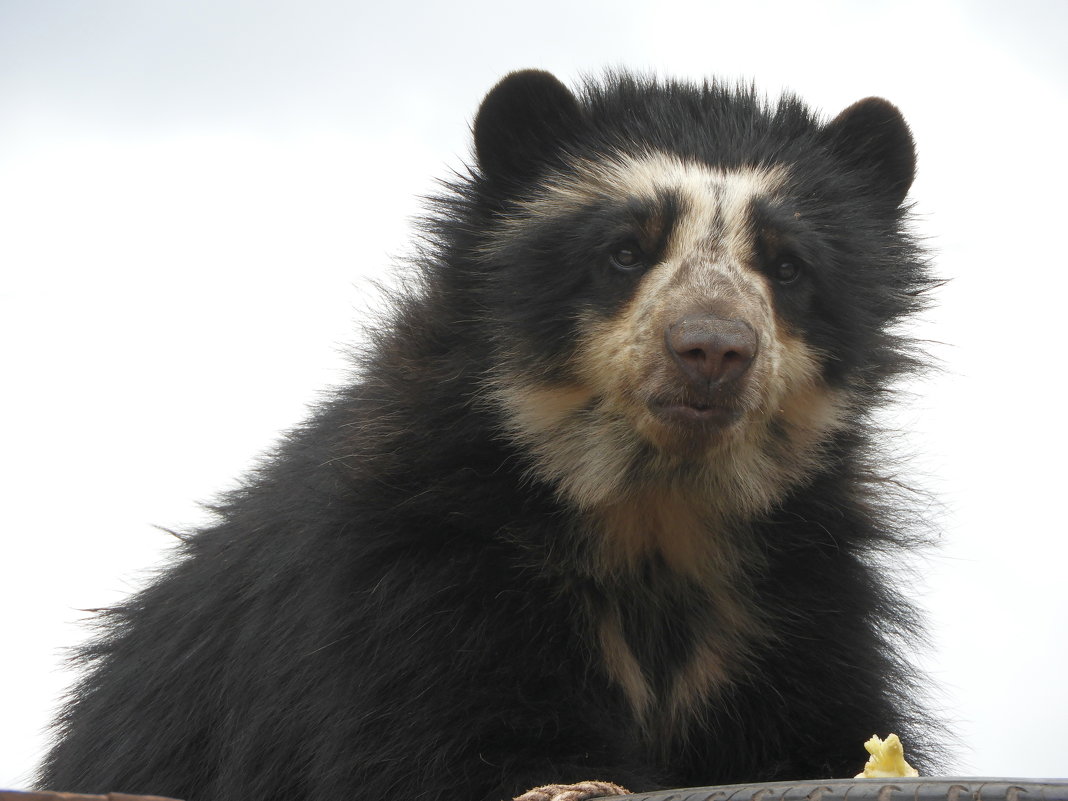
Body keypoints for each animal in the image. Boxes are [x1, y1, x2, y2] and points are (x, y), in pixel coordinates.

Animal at [39, 70, 944, 801]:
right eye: (624, 251)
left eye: (788, 266)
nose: (712, 349)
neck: (653, 508)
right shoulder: (417, 569)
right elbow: (457, 743)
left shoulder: (795, 592)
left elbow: (819, 729)